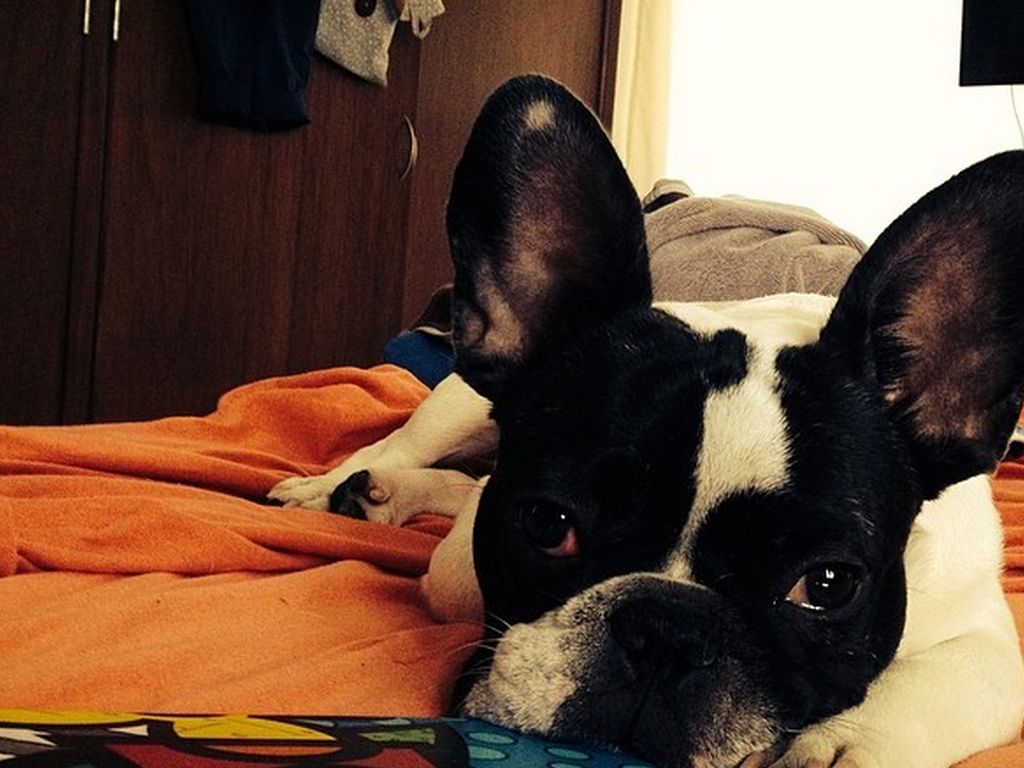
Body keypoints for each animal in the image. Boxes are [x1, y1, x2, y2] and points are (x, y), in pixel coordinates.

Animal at [270, 75, 1024, 768]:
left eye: (828, 585)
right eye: (546, 523)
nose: (667, 632)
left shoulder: (989, 646)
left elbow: (924, 687)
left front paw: (837, 746)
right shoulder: (460, 568)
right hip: (455, 402)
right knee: (407, 448)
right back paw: (337, 489)